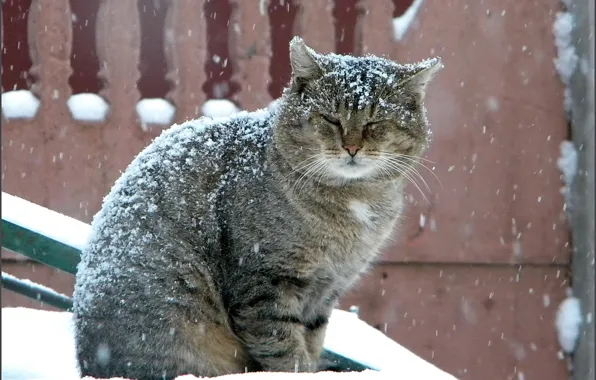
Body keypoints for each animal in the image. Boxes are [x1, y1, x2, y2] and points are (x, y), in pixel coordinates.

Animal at [72, 36, 440, 380]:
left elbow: (311, 340)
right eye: (330, 119)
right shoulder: (266, 283)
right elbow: (284, 349)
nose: (351, 147)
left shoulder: (327, 291)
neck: (352, 203)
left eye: (375, 123)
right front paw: (298, 369)